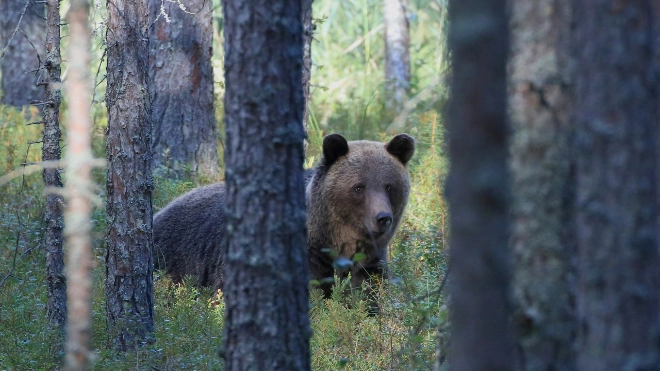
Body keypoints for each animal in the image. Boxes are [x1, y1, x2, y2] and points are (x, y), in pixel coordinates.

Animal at [153, 134, 416, 306]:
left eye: (389, 186)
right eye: (359, 187)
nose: (383, 218)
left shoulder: (370, 263)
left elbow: (368, 297)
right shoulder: (309, 260)